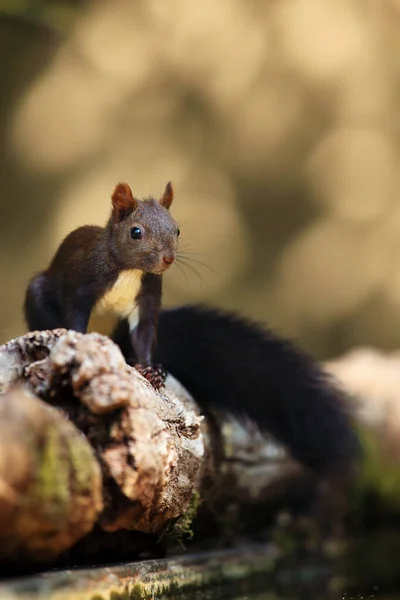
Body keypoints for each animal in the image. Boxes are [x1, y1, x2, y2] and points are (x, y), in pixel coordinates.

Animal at [24, 180, 179, 386]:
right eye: (136, 232)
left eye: (177, 230)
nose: (168, 259)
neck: (130, 270)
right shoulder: (81, 286)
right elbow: (76, 320)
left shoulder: (148, 296)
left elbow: (143, 334)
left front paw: (150, 370)